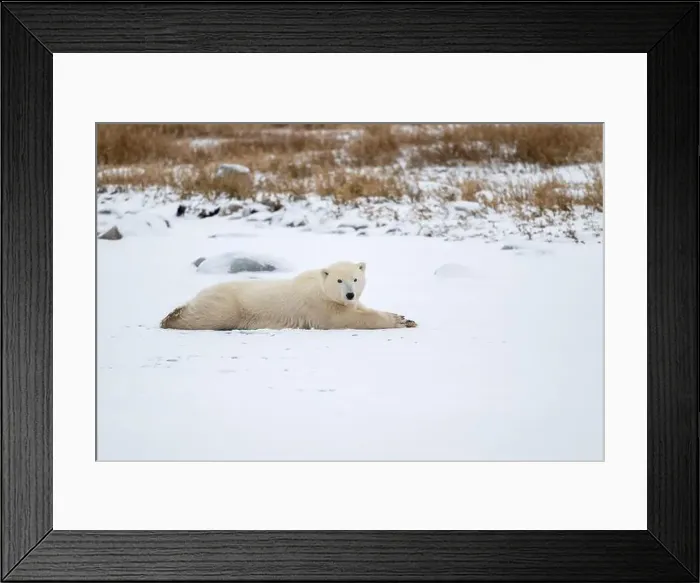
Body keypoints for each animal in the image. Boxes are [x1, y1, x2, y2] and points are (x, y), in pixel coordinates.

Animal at [160, 261, 417, 331]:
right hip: (228, 305)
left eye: (355, 278)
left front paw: (404, 317)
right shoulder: (321, 307)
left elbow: (361, 309)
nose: (350, 295)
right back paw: (171, 318)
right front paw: (398, 321)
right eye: (338, 280)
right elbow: (348, 319)